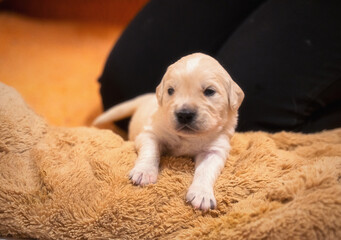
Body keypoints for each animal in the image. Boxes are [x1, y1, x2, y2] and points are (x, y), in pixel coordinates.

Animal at [91, 52, 243, 210]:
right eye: (170, 90)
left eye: (209, 91)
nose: (184, 114)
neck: (188, 137)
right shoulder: (150, 133)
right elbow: (151, 152)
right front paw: (144, 172)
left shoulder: (216, 149)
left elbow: (206, 170)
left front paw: (202, 194)